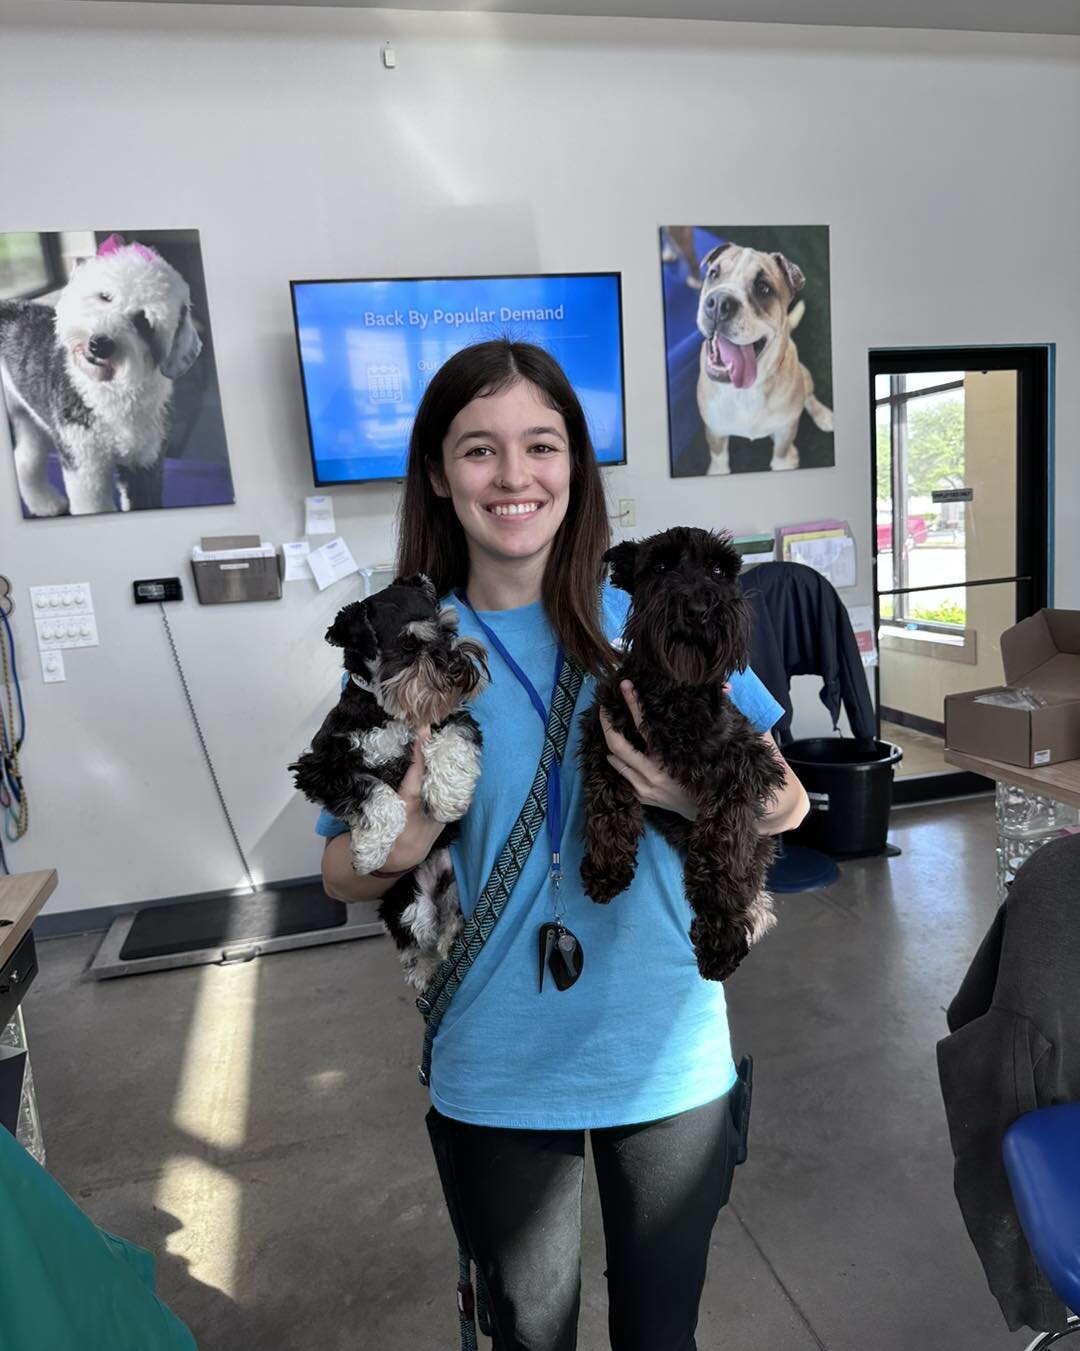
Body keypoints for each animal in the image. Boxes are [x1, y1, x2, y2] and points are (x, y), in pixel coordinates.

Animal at [289, 575, 486, 988]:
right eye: (408, 645)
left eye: (449, 630)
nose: (458, 667)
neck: (387, 711)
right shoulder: (320, 768)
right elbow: (377, 793)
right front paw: (370, 851)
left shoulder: (456, 720)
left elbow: (453, 744)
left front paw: (448, 798)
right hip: (407, 903)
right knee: (414, 941)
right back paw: (425, 971)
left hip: (454, 886)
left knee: (449, 921)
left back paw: (451, 939)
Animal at [578, 526, 789, 983]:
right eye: (660, 566)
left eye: (718, 570)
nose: (697, 608)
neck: (675, 693)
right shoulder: (604, 735)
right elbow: (607, 801)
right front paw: (607, 868)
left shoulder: (747, 761)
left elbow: (721, 837)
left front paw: (719, 933)